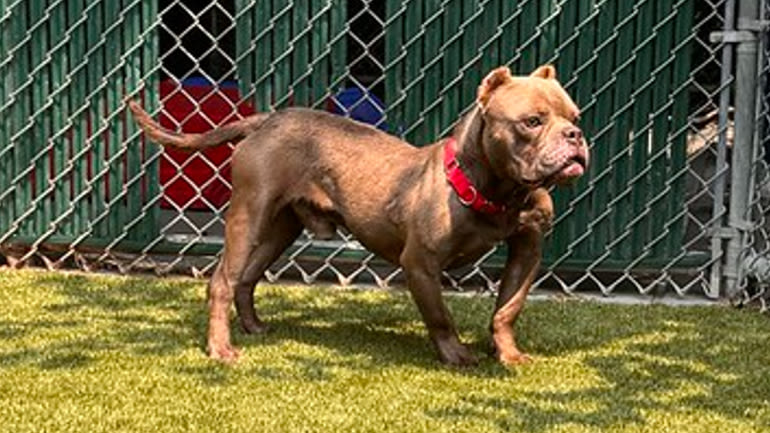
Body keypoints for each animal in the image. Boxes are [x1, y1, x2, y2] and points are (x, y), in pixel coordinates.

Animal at [130, 66, 588, 366]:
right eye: (532, 121)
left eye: (575, 116)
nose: (576, 135)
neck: (498, 190)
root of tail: (268, 119)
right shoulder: (420, 263)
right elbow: (440, 316)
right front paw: (456, 354)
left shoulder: (527, 250)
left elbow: (507, 308)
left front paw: (507, 353)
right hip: (249, 215)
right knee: (223, 281)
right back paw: (220, 349)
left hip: (281, 228)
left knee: (247, 277)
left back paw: (253, 327)